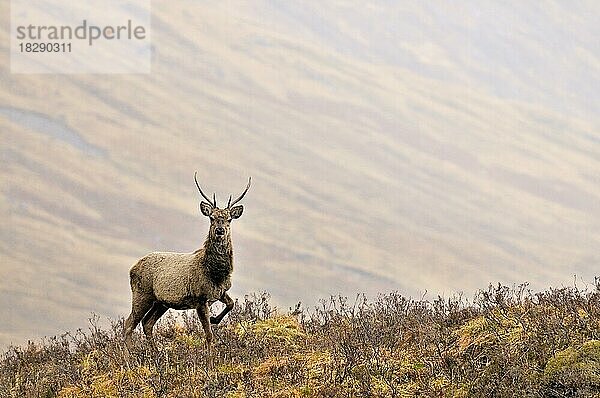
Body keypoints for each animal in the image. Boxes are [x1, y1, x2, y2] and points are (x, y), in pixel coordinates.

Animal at [124, 173, 251, 350]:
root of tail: (132, 268)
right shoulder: (200, 298)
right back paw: (131, 355)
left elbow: (231, 304)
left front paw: (214, 319)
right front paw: (210, 356)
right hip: (142, 294)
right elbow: (209, 335)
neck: (216, 274)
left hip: (161, 302)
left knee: (147, 323)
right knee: (129, 324)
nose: (220, 231)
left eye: (229, 219)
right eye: (212, 218)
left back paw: (155, 352)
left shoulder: (220, 292)